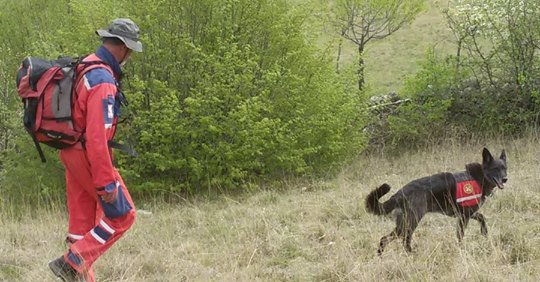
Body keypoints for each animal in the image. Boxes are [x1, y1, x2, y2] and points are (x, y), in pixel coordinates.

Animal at [364, 148, 508, 256]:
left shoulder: (467, 213)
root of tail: (400, 193)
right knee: (397, 239)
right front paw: (461, 249)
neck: (480, 177)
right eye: (495, 169)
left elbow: (482, 218)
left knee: (391, 239)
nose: (505, 179)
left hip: (405, 223)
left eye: (504, 168)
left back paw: (383, 256)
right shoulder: (464, 217)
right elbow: (461, 236)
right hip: (410, 222)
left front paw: (484, 232)